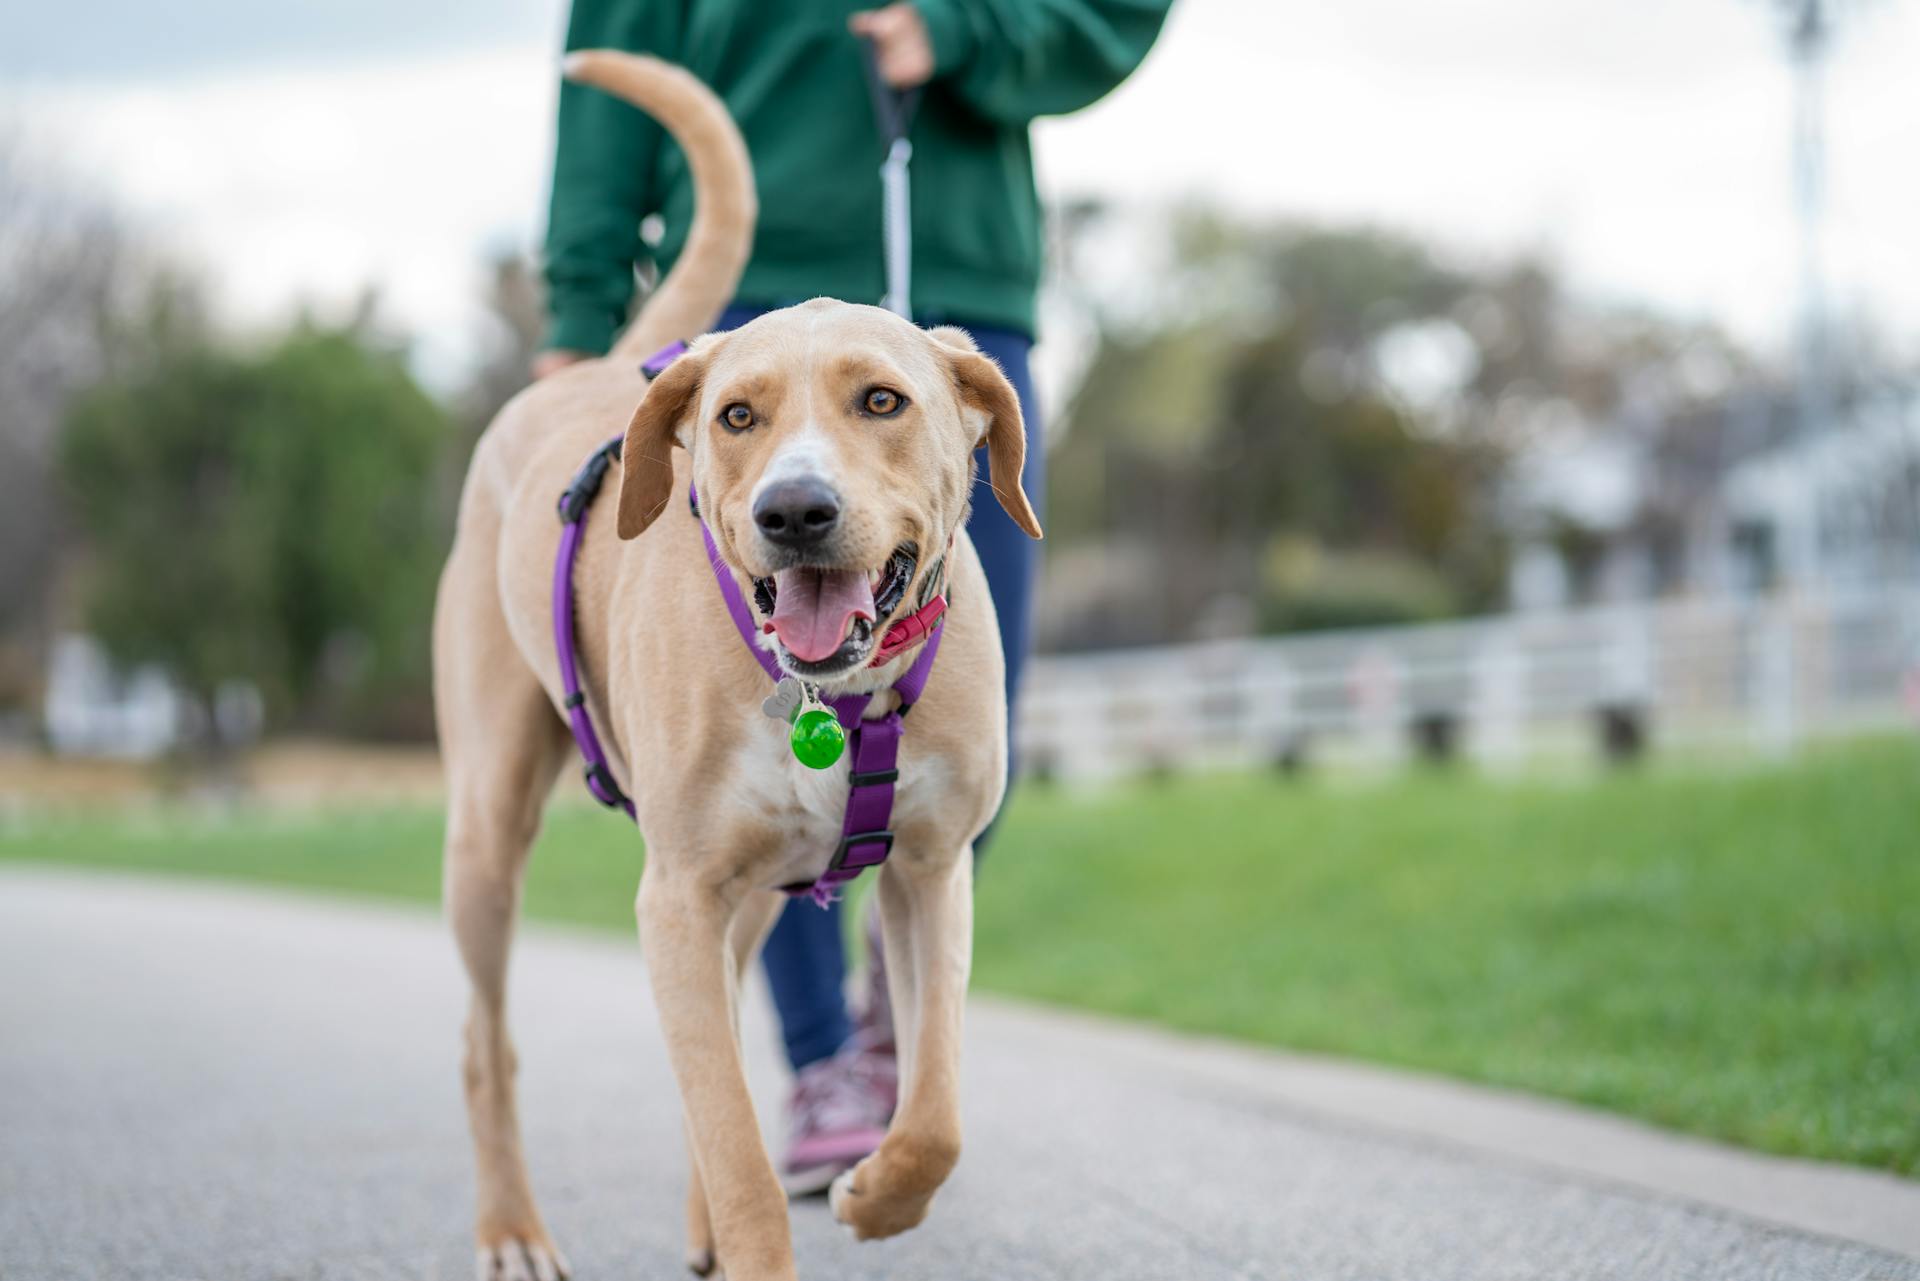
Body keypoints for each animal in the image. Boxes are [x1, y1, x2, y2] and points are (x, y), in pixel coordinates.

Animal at [435, 52, 1044, 1281]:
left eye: (882, 400)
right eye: (736, 417)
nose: (793, 510)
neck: (832, 698)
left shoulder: (929, 870)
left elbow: (936, 1113)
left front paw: (875, 1194)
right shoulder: (673, 895)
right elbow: (733, 1137)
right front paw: (765, 1228)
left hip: (758, 896)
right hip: (487, 828)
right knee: (490, 1044)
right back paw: (513, 1228)